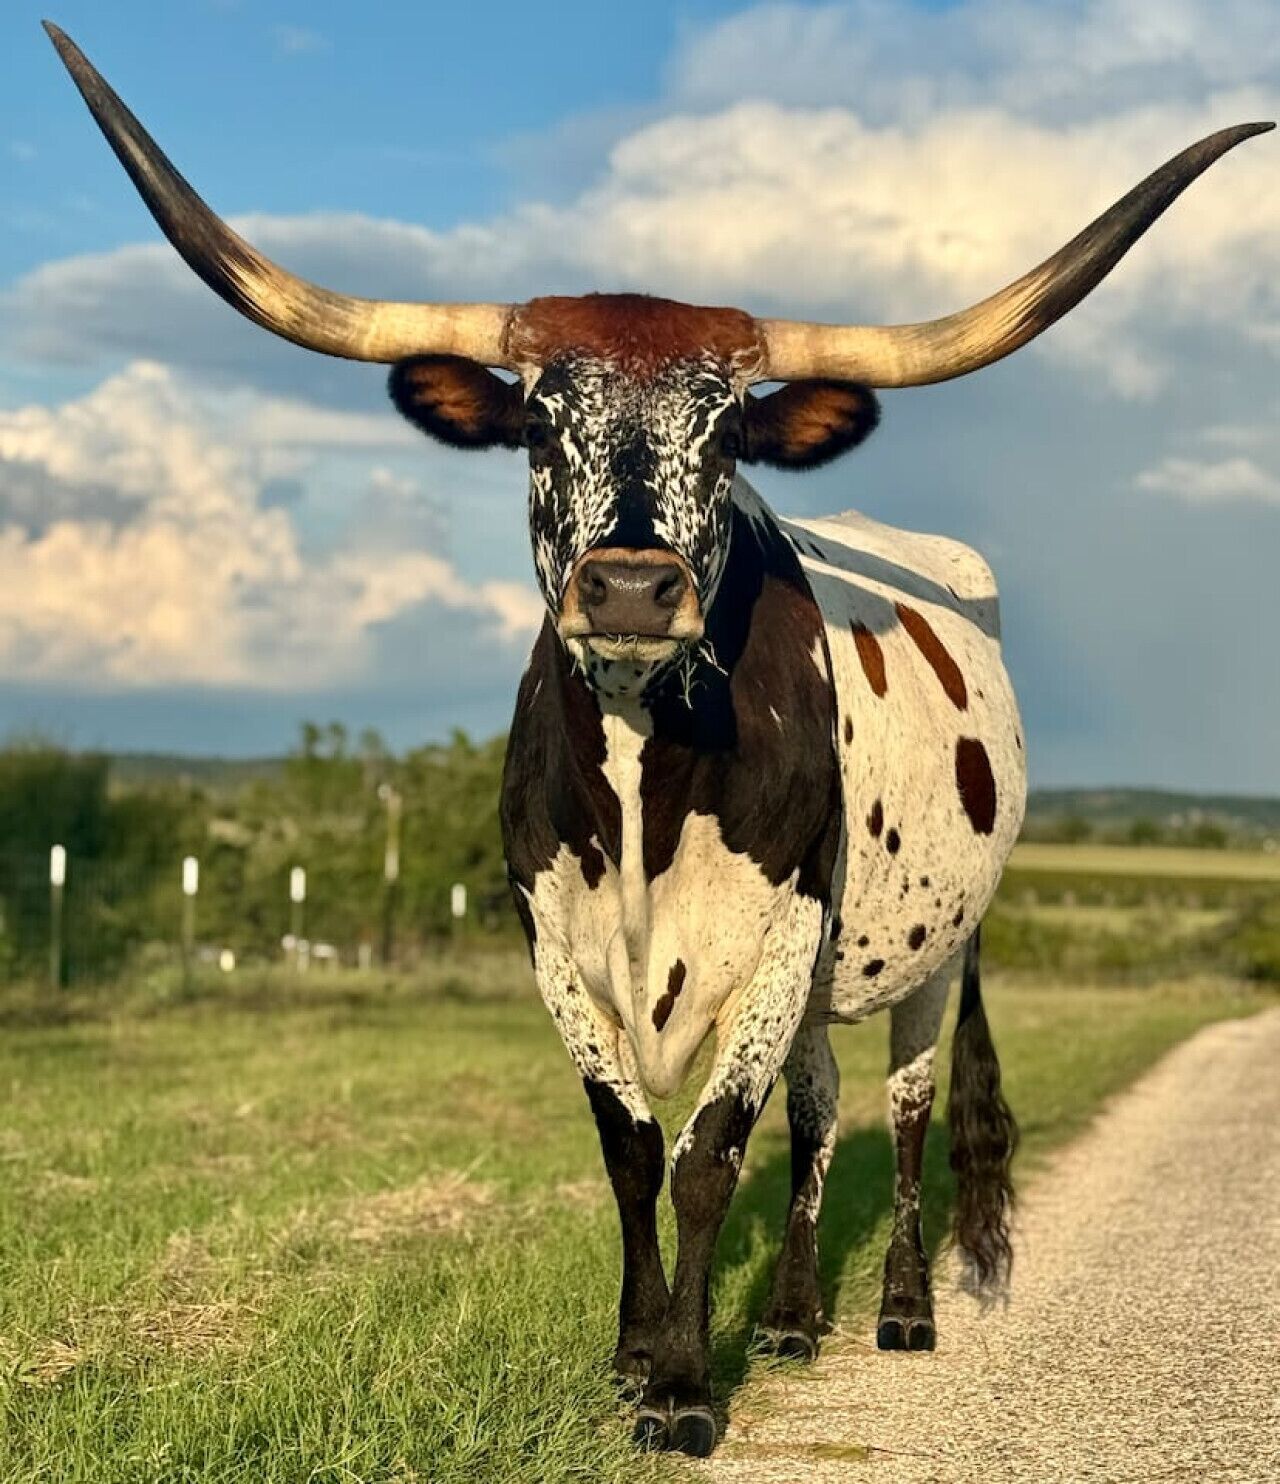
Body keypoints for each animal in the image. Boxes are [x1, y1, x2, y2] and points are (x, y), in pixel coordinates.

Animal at [47, 22, 1271, 1458]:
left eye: (729, 427)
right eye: (534, 421)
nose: (631, 587)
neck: (644, 786)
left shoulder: (779, 932)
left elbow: (708, 1156)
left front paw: (685, 1388)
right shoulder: (556, 941)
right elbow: (633, 1149)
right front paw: (637, 1355)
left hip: (932, 951)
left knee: (904, 1112)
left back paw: (900, 1307)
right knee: (820, 1108)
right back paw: (791, 1316)